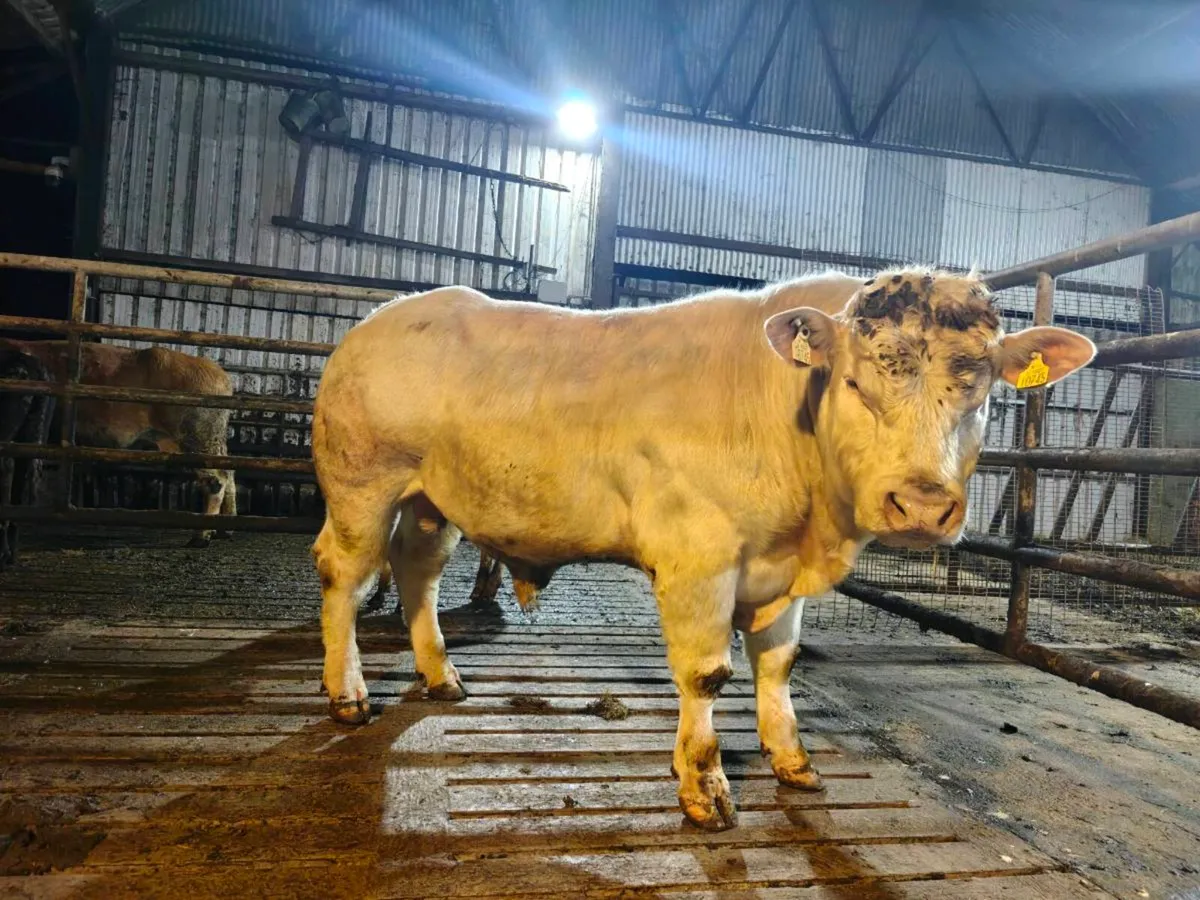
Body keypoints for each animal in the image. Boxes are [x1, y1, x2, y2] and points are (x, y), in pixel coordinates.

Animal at [0, 339, 237, 547]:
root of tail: (220, 375)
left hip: (198, 438)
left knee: (216, 480)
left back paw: (201, 537)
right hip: (207, 440)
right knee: (229, 473)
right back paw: (224, 530)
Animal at [309, 268, 1095, 831]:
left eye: (983, 389)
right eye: (853, 380)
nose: (924, 505)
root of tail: (381, 318)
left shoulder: (778, 571)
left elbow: (778, 664)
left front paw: (792, 758)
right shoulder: (699, 558)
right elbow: (708, 675)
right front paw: (704, 786)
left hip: (431, 501)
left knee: (418, 571)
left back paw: (440, 675)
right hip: (362, 484)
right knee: (346, 575)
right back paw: (347, 695)